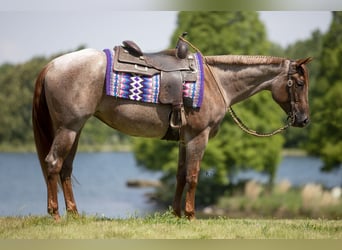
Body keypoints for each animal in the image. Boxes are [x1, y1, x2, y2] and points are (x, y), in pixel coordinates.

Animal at [31, 41, 310, 221]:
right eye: (299, 83)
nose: (304, 119)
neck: (216, 82)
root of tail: (53, 64)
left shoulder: (184, 139)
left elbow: (180, 175)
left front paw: (176, 214)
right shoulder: (199, 136)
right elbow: (194, 176)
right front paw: (191, 215)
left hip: (74, 130)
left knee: (65, 169)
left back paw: (75, 214)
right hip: (68, 129)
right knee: (53, 163)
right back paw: (55, 214)